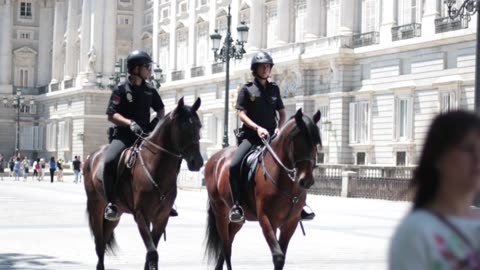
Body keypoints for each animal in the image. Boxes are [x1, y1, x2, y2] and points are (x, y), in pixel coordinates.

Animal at [82, 97, 202, 270]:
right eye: (183, 126)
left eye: (199, 126)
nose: (197, 162)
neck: (156, 167)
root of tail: (92, 156)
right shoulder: (141, 215)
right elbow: (152, 253)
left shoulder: (161, 218)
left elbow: (151, 253)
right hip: (96, 206)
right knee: (99, 243)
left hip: (116, 214)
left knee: (104, 240)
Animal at [203, 108, 320, 268]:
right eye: (298, 141)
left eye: (316, 142)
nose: (306, 180)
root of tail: (215, 158)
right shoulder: (266, 219)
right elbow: (278, 256)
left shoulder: (290, 223)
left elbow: (282, 256)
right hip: (220, 212)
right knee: (226, 245)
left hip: (238, 220)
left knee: (228, 242)